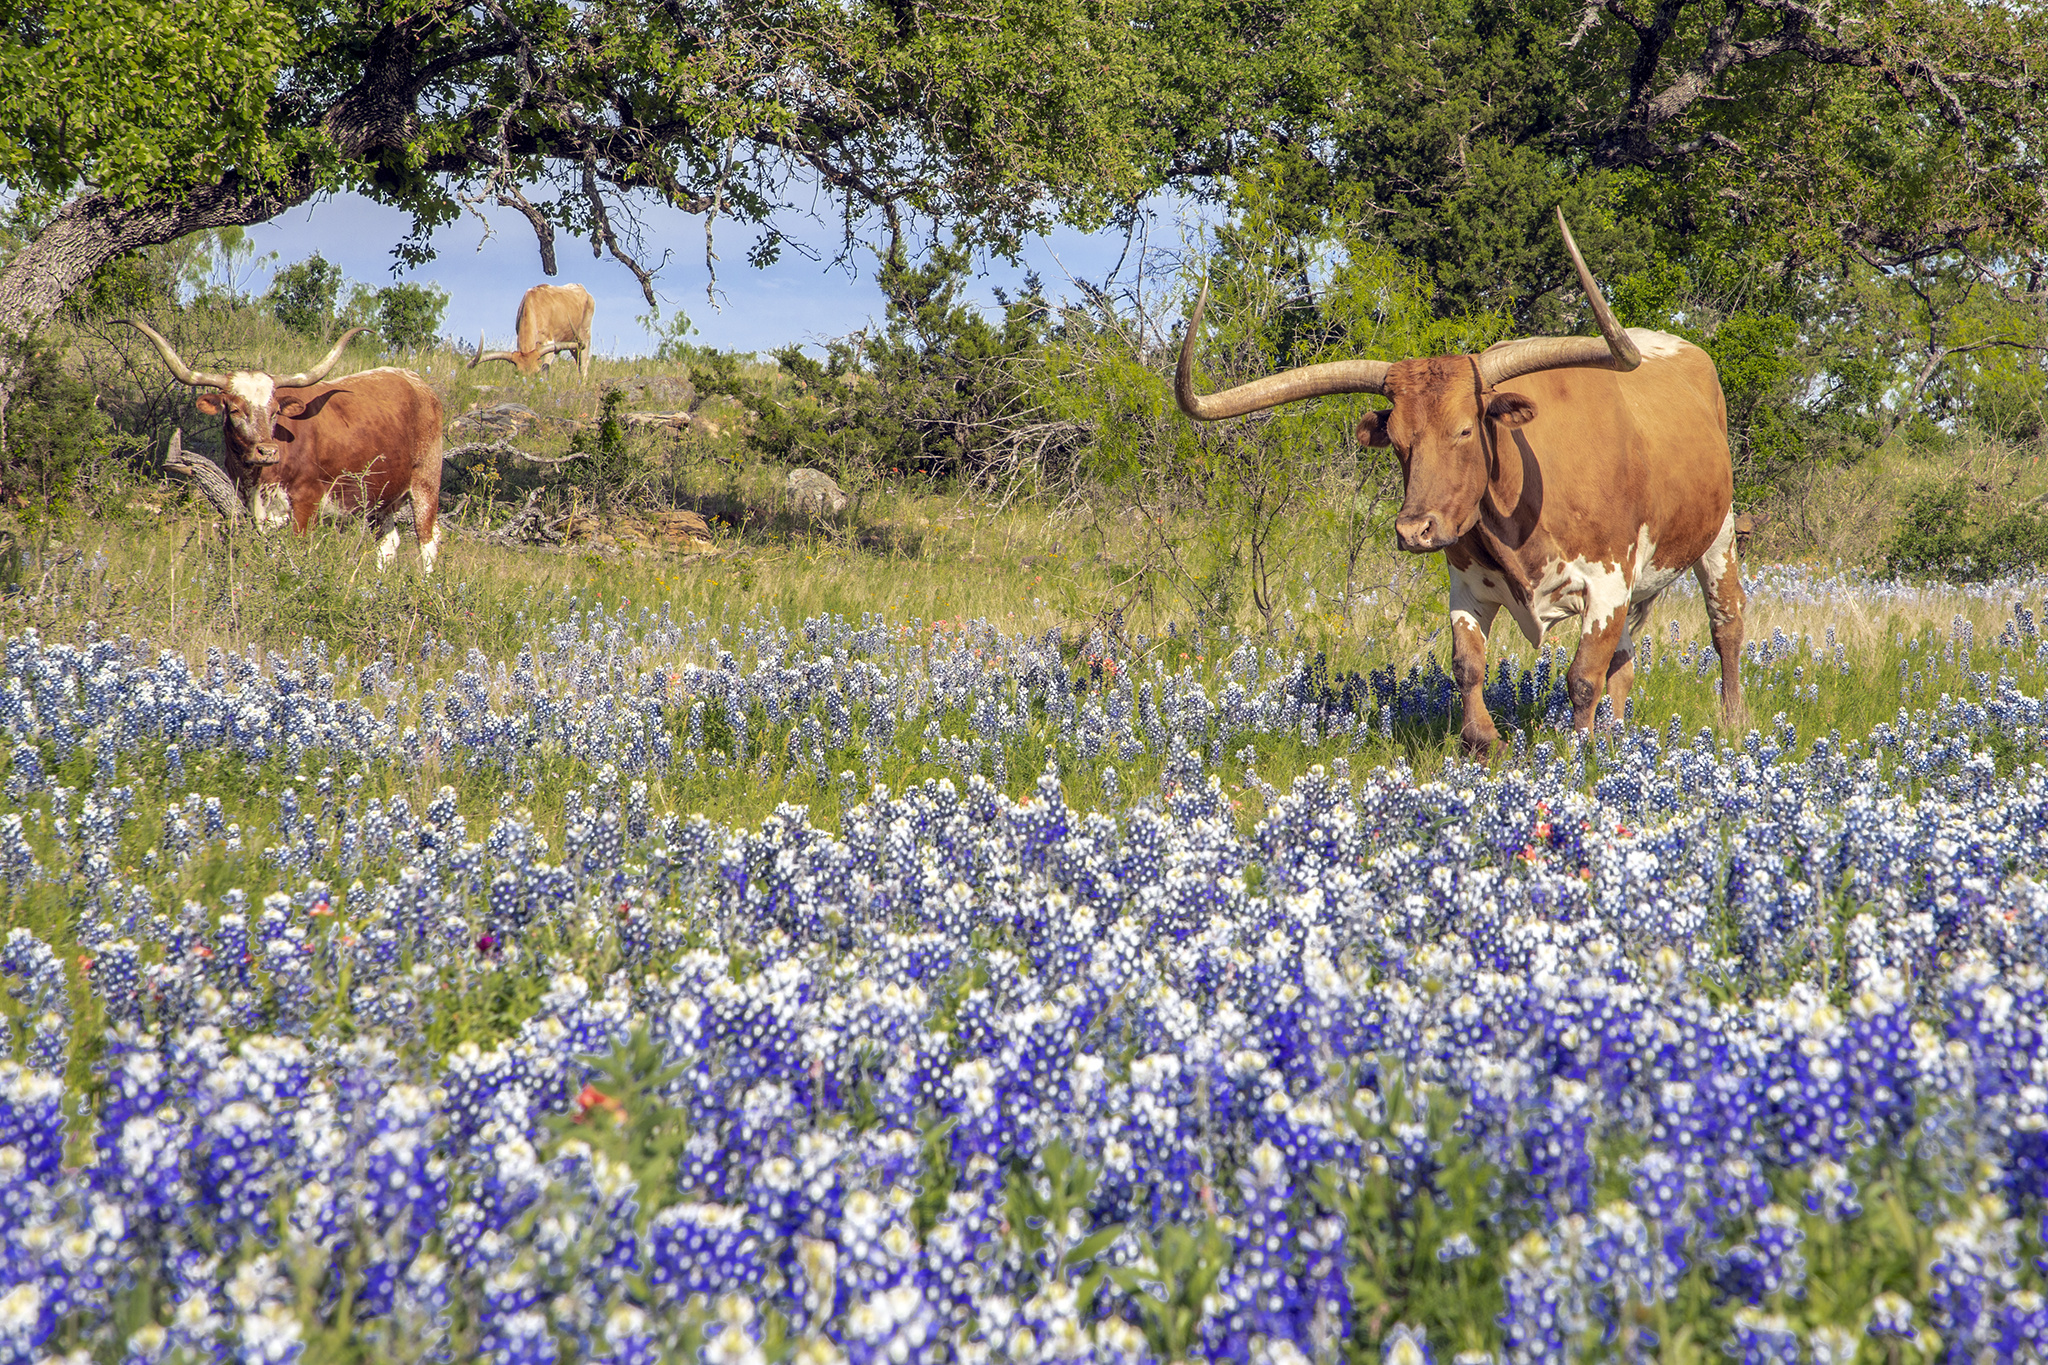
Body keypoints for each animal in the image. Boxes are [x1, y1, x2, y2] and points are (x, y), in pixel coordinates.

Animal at [125, 321, 446, 573]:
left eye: (275, 411)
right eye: (235, 410)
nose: (267, 451)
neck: (258, 478)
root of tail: (415, 381)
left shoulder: (307, 501)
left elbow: (299, 550)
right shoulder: (257, 509)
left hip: (426, 482)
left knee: (428, 540)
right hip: (383, 497)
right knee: (388, 543)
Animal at [1187, 210, 1744, 757]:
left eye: (1464, 429)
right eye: (1396, 439)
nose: (1414, 531)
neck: (1522, 507)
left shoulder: (1607, 582)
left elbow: (1583, 676)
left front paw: (1576, 753)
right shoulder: (1467, 585)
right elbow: (1468, 664)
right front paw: (1482, 740)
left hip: (1719, 536)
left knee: (1726, 627)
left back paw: (1730, 723)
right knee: (1624, 665)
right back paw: (1617, 735)